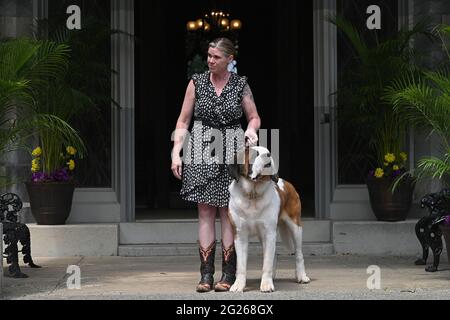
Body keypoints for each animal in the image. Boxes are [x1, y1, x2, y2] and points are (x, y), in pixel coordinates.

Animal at [229, 147, 310, 292]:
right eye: (255, 154)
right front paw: (238, 285)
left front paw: (266, 284)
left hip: (295, 226)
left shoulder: (269, 233)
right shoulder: (240, 235)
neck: (253, 194)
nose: (268, 154)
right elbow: (241, 265)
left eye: (267, 151)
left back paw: (301, 276)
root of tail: (287, 183)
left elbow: (266, 262)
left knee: (299, 253)